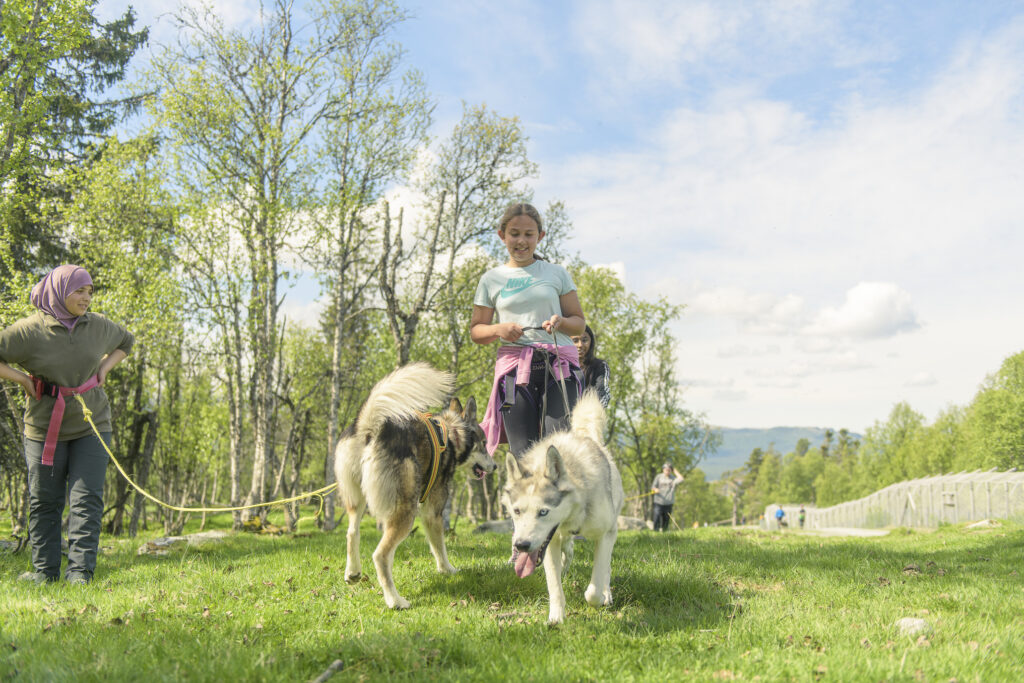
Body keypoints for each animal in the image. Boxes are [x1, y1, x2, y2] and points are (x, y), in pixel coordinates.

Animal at [335, 362, 495, 610]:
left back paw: (353, 573)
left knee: (352, 533)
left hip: (356, 500)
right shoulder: (433, 512)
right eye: (484, 444)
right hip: (406, 511)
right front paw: (447, 570)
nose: (495, 466)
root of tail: (369, 428)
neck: (451, 434)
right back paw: (395, 600)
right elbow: (439, 546)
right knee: (381, 555)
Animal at [501, 389, 622, 626]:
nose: (521, 545)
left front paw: (599, 597)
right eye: (517, 511)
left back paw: (607, 592)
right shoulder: (550, 543)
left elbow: (594, 588)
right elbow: (554, 586)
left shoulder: (606, 534)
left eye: (543, 512)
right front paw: (556, 618)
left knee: (606, 568)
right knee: (569, 548)